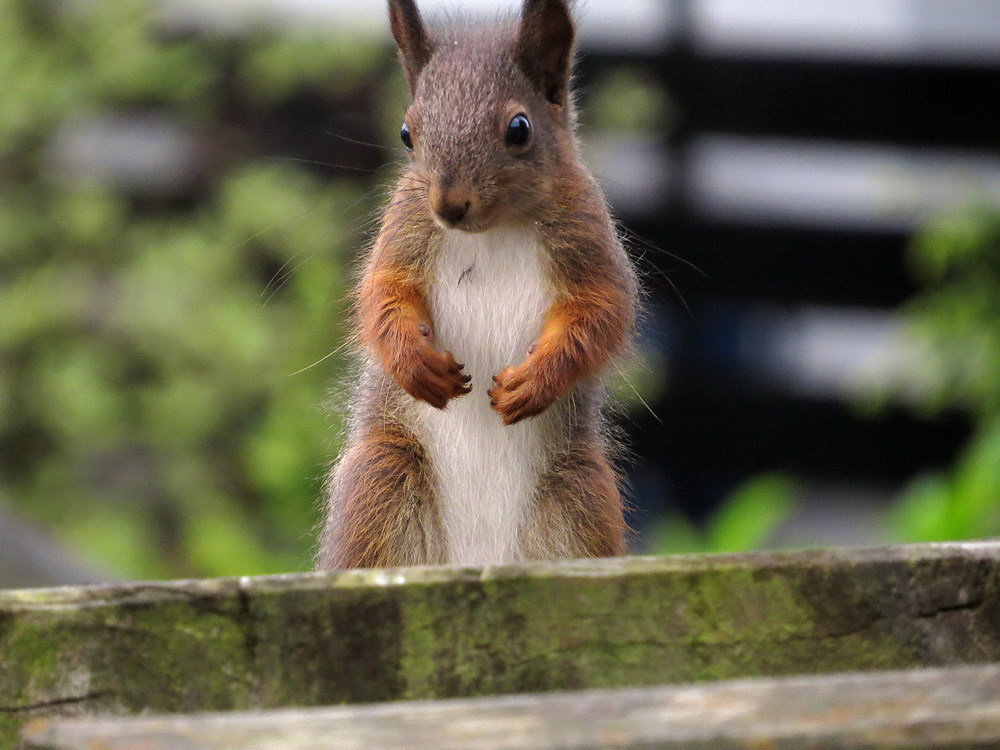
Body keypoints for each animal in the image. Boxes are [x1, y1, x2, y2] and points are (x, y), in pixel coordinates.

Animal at [316, 0, 636, 568]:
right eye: (407, 133)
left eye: (520, 128)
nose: (450, 205)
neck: (493, 229)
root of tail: (478, 556)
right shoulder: (406, 229)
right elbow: (384, 295)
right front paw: (415, 364)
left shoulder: (588, 236)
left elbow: (600, 312)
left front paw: (534, 382)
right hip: (380, 482)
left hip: (579, 496)